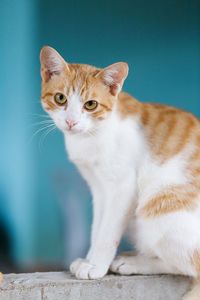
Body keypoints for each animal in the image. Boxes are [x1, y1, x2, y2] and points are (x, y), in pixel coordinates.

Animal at [39, 45, 200, 298]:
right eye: (60, 98)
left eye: (91, 105)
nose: (71, 122)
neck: (91, 137)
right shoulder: (98, 189)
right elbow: (98, 227)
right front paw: (88, 260)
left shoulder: (122, 187)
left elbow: (108, 232)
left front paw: (96, 266)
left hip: (158, 206)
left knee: (190, 265)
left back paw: (136, 262)